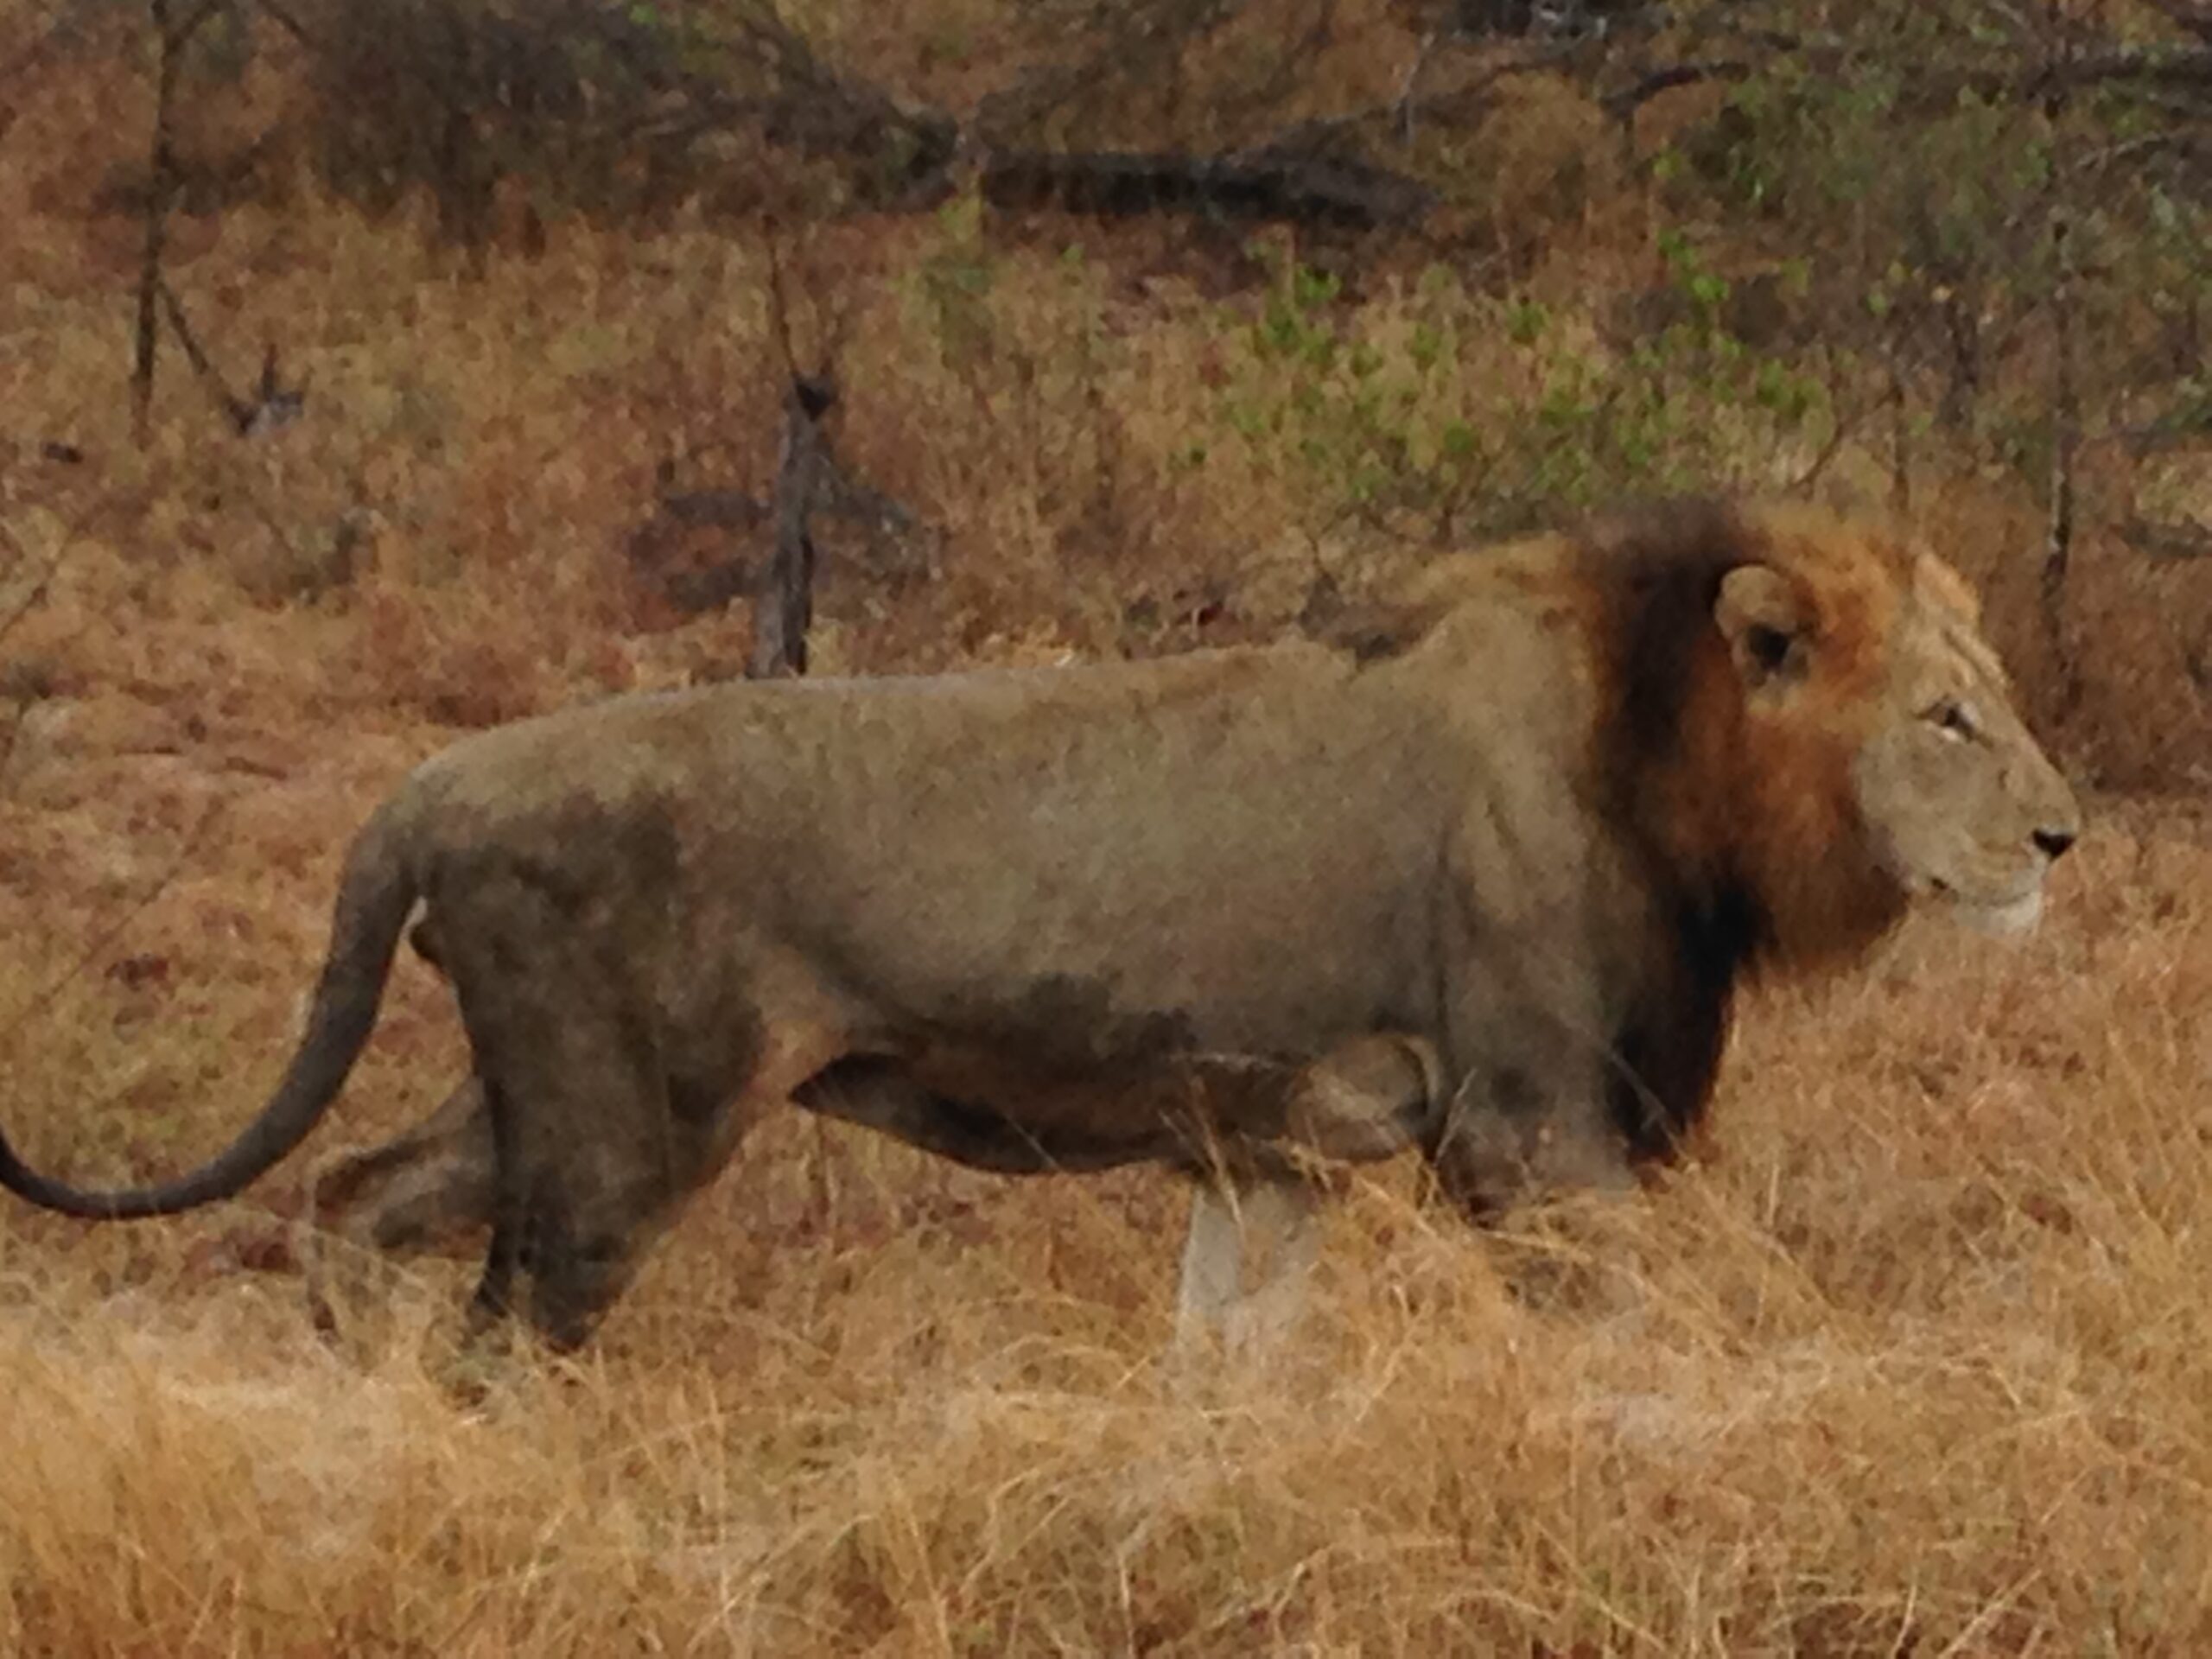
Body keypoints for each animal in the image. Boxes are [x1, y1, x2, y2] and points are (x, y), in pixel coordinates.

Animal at [0, 498, 2081, 1359]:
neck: (1674, 773)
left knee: (354, 1202)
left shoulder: (1274, 1152)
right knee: (500, 1332)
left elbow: (1227, 1368)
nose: (2065, 832)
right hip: (622, 1127)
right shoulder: (1529, 1136)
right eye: (1946, 719)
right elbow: (1647, 1346)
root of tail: (429, 786)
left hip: (548, 1098)